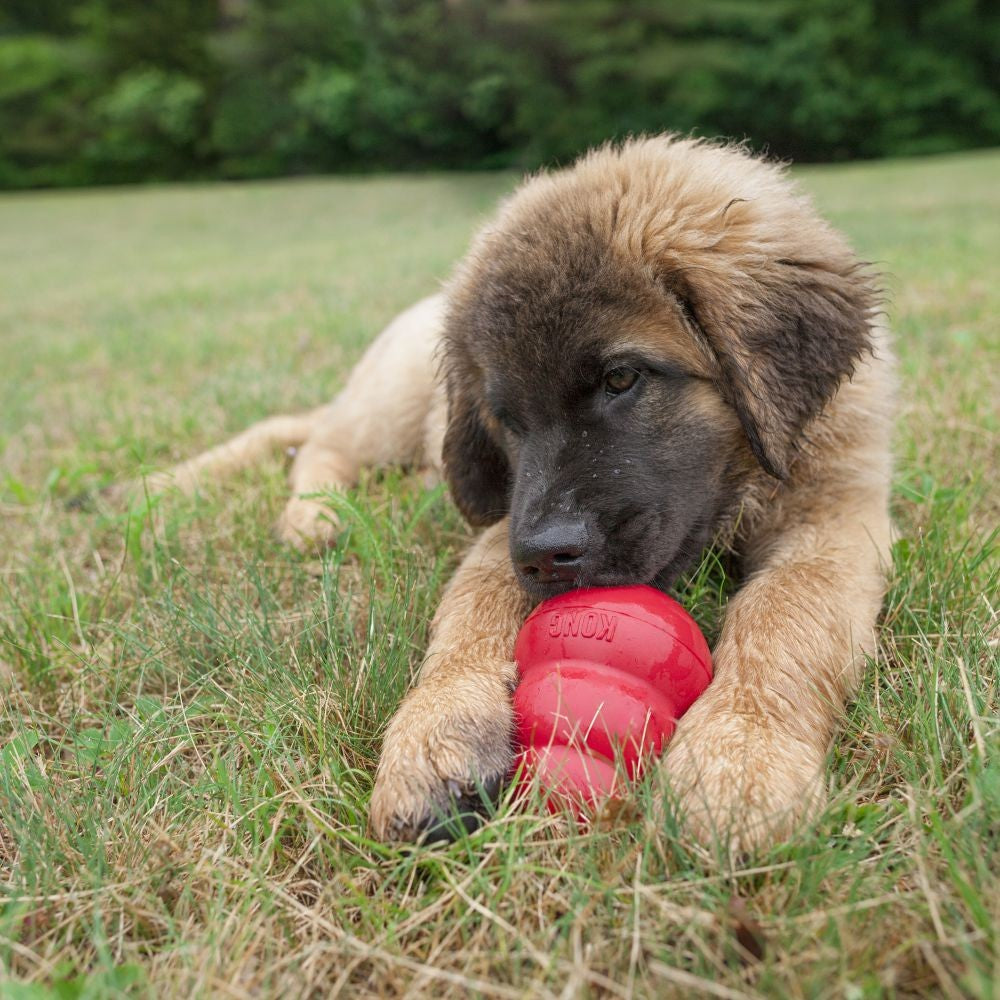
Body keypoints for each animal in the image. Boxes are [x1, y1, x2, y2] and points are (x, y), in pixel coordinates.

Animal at [141, 137, 892, 848]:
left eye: (622, 378)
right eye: (507, 418)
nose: (546, 556)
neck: (740, 487)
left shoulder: (836, 519)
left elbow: (787, 616)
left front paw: (739, 757)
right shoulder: (505, 523)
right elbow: (469, 615)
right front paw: (435, 731)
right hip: (388, 404)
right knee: (317, 441)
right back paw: (314, 516)